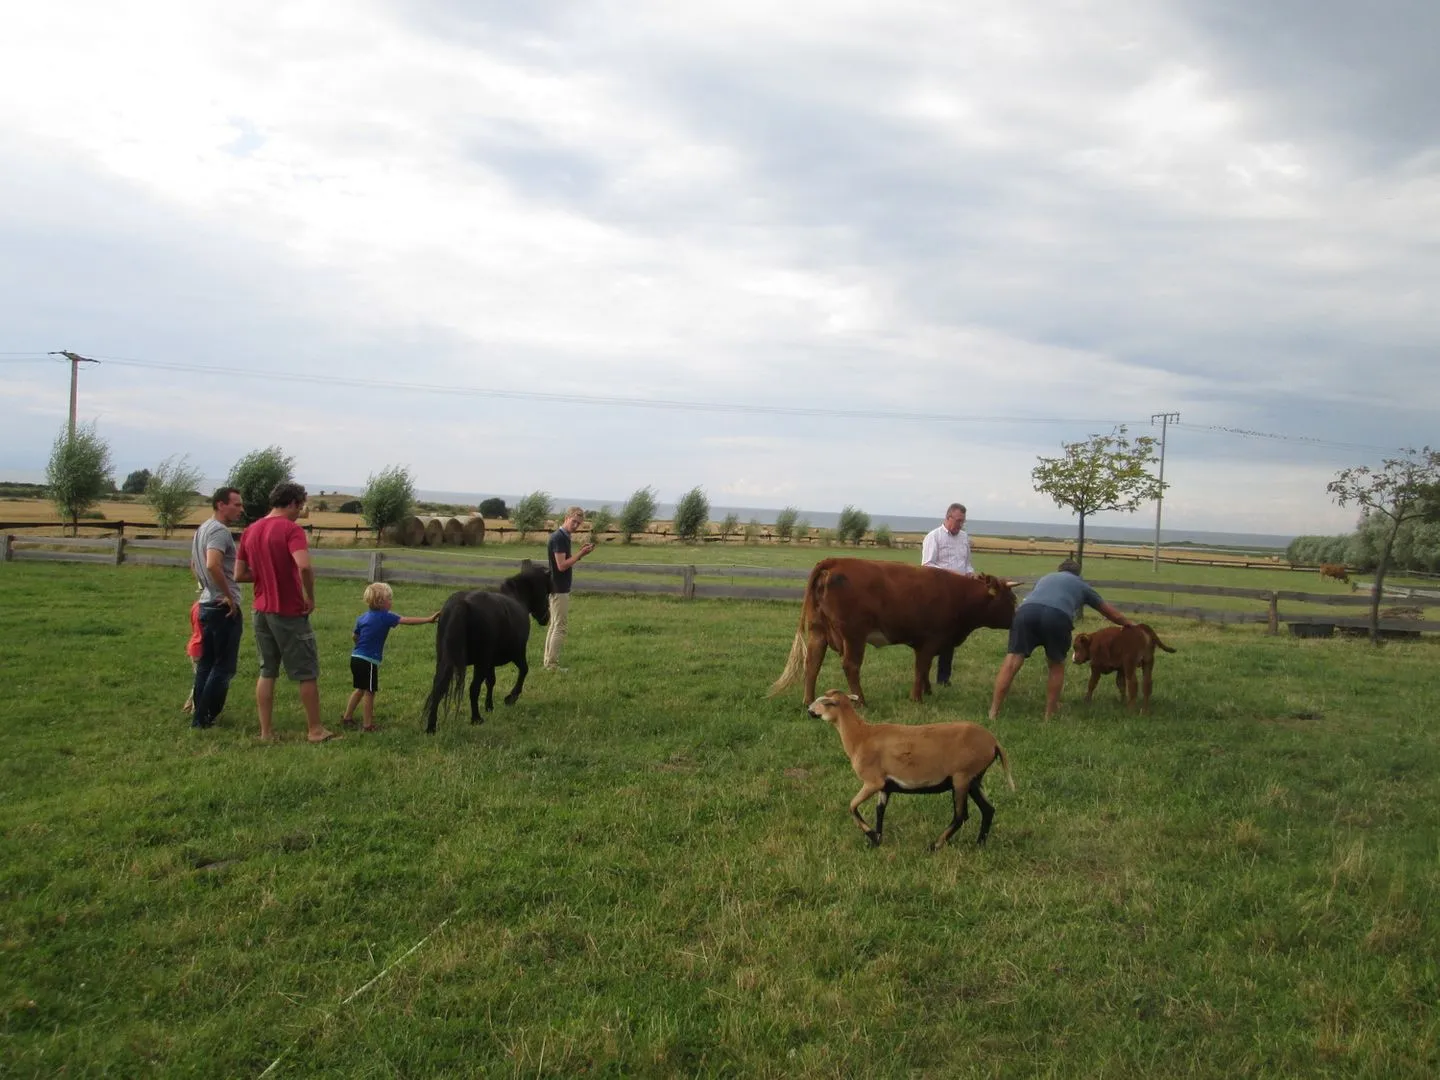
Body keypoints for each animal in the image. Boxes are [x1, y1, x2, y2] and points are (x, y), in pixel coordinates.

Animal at [422, 564, 552, 733]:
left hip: (445, 660)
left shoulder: (490, 662)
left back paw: (431, 727)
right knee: (473, 688)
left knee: (438, 687)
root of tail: (461, 603)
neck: (516, 597)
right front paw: (511, 698)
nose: (547, 618)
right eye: (547, 593)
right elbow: (524, 670)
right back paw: (476, 718)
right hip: (481, 662)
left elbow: (491, 681)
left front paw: (489, 706)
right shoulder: (517, 653)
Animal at [769, 558, 1018, 705]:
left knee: (812, 663)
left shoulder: (927, 643)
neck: (958, 595)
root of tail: (837, 562)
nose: (1017, 619)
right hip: (853, 635)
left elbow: (925, 669)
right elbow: (921, 668)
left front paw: (927, 690)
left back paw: (808, 701)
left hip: (818, 632)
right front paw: (917, 698)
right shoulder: (931, 639)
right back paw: (861, 701)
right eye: (1011, 599)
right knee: (850, 666)